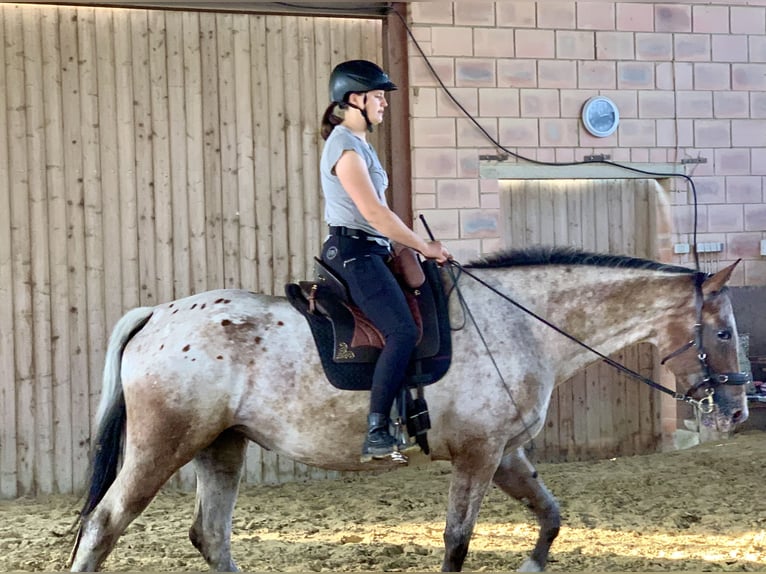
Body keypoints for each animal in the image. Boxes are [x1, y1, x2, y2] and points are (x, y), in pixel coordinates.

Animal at [67, 246, 752, 572]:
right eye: (722, 332)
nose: (741, 410)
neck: (523, 324)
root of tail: (158, 315)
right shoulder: (478, 455)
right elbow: (456, 540)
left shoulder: (506, 454)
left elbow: (551, 516)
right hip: (163, 446)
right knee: (103, 526)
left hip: (220, 447)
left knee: (210, 535)